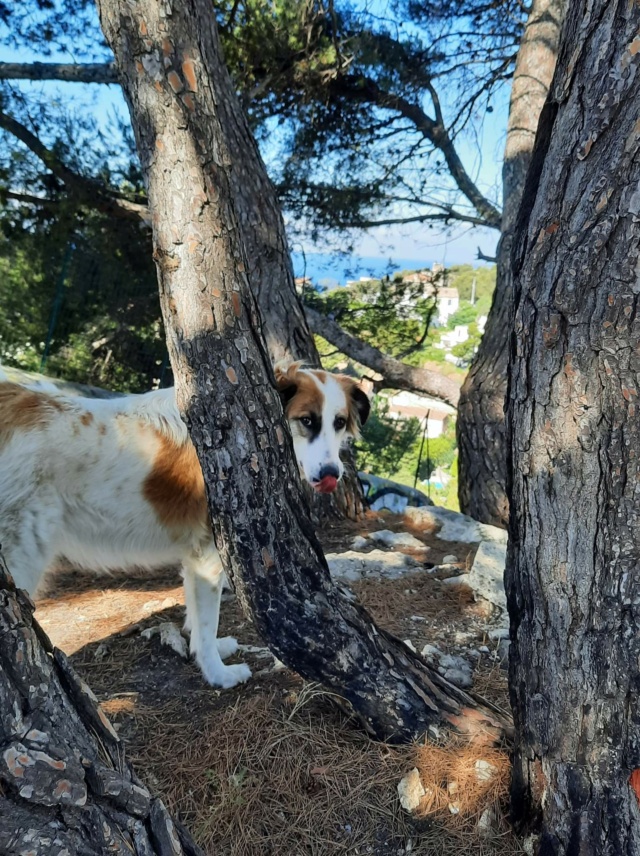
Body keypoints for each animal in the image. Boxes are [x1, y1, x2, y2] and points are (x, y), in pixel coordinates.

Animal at [0, 362, 370, 688]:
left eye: (339, 423)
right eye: (306, 421)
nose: (331, 475)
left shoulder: (196, 559)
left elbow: (197, 617)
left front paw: (212, 648)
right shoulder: (208, 556)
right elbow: (207, 622)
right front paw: (217, 674)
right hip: (22, 557)